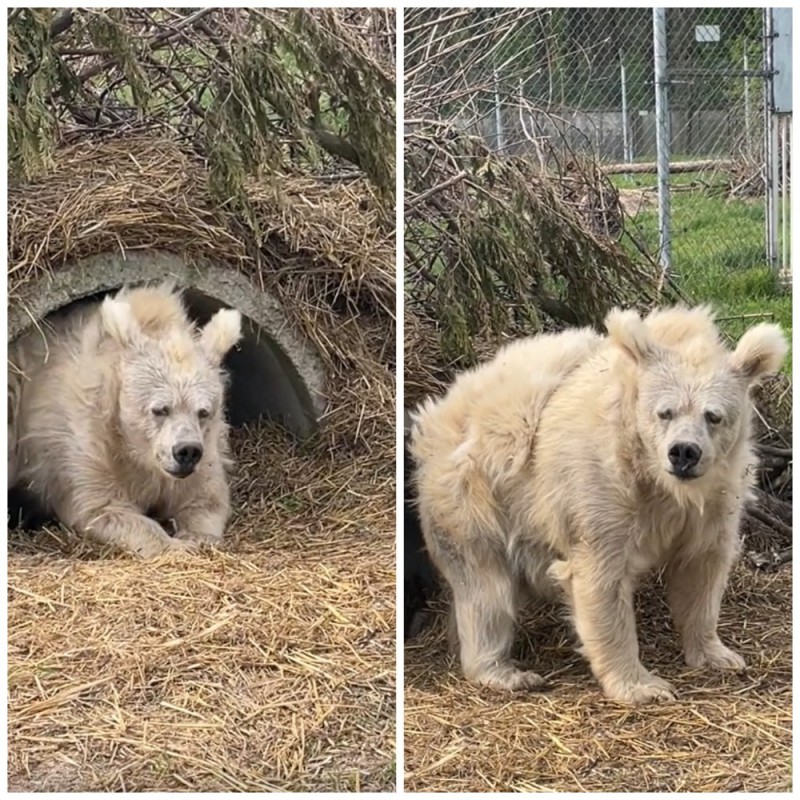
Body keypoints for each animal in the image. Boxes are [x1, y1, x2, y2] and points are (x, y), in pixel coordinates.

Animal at [7, 284, 244, 560]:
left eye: (203, 412)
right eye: (160, 409)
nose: (186, 451)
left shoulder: (206, 450)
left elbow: (206, 498)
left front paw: (196, 538)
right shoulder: (89, 445)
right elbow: (103, 507)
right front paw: (176, 546)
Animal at [410, 306, 792, 708]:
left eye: (713, 415)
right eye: (665, 412)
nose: (684, 453)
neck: (658, 481)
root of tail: (436, 413)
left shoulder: (714, 501)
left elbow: (701, 569)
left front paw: (719, 655)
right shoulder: (602, 489)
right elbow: (601, 580)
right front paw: (643, 686)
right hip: (473, 496)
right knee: (486, 589)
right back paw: (507, 672)